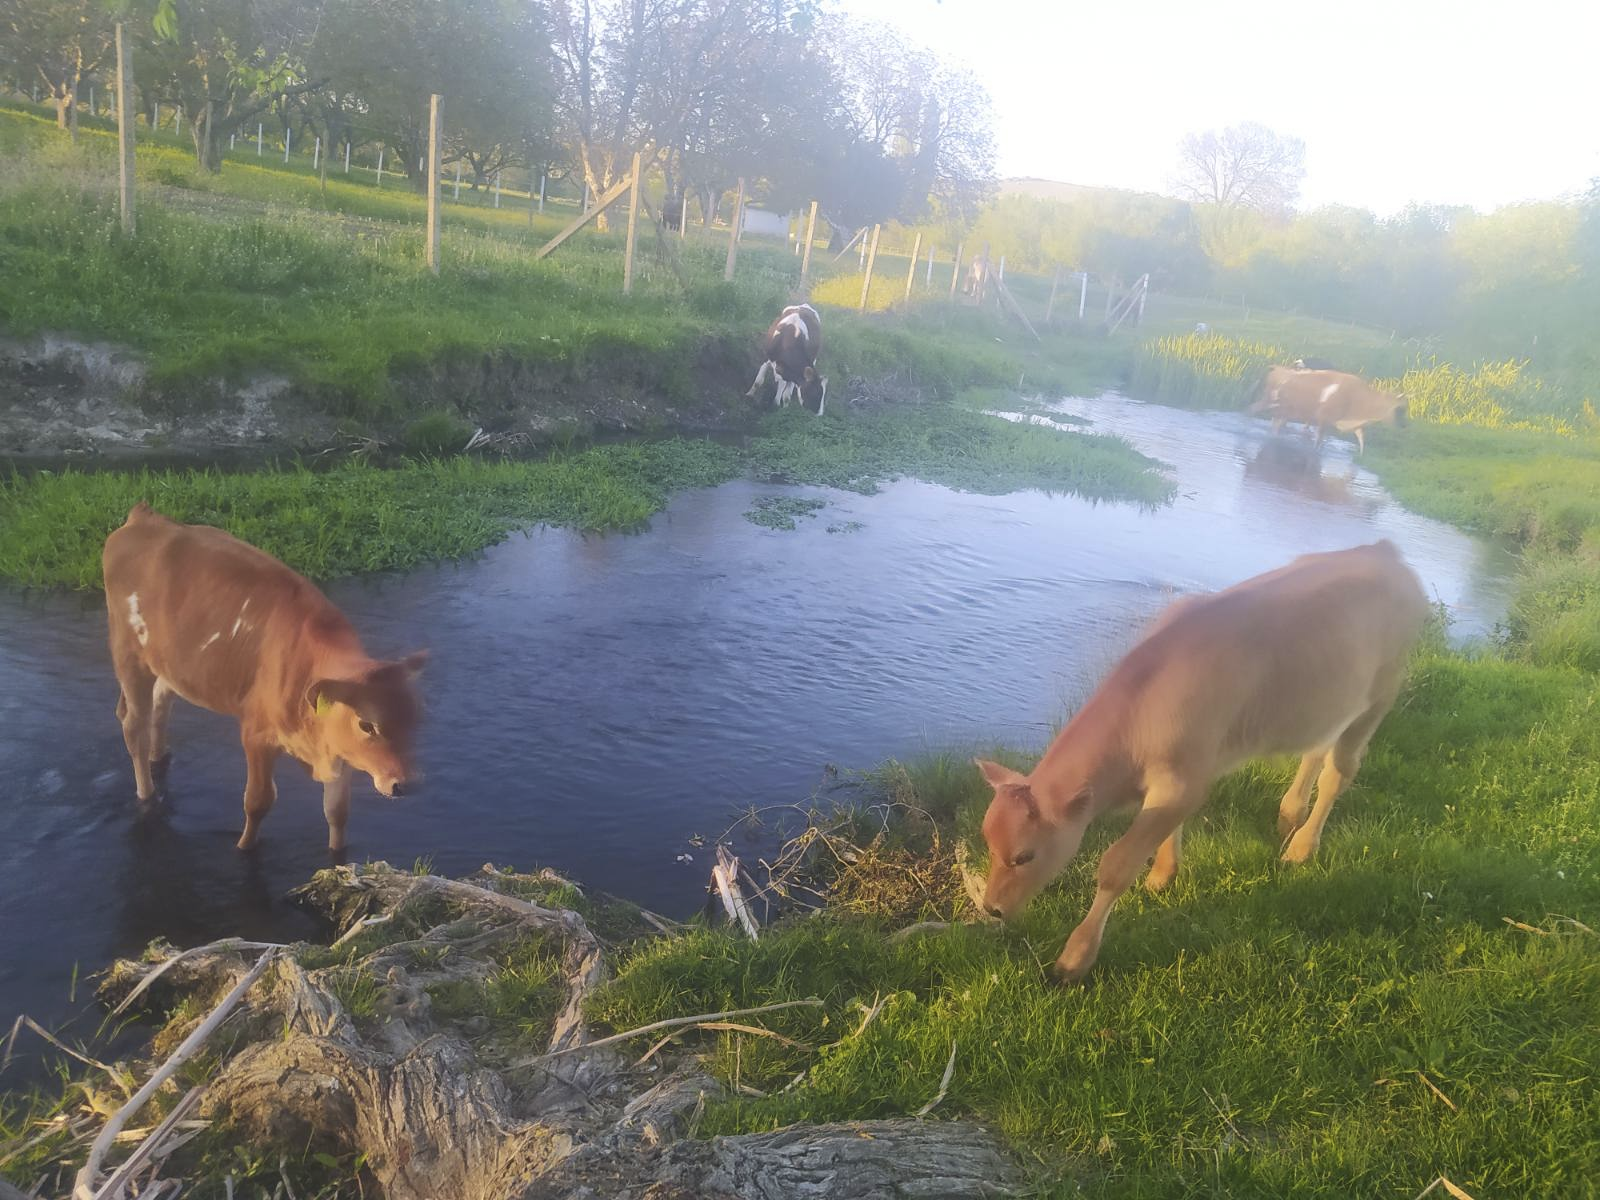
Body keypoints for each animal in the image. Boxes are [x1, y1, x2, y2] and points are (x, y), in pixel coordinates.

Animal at [102, 504, 427, 854]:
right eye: (367, 724)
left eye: (416, 718)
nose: (405, 784)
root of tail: (145, 517)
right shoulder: (256, 734)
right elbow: (259, 801)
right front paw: (244, 847)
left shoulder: (339, 749)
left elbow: (337, 812)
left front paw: (337, 853)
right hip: (129, 655)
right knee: (134, 725)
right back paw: (147, 795)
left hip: (169, 663)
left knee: (161, 703)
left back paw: (159, 756)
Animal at [975, 540, 1427, 983]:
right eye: (987, 842)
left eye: (1024, 856)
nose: (991, 908)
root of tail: (1382, 550)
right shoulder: (1180, 779)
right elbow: (1168, 829)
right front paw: (1162, 875)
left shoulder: (1182, 782)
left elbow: (1115, 865)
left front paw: (1074, 959)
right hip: (1328, 702)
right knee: (1317, 749)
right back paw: (1289, 814)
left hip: (1381, 694)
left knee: (1339, 773)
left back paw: (1301, 847)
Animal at [1251, 366, 1408, 454]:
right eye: (1399, 410)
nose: (1404, 426)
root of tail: (1277, 367)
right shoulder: (1323, 419)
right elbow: (1318, 442)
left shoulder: (1353, 424)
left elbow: (1362, 441)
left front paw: (1360, 457)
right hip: (1268, 401)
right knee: (1252, 410)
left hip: (1282, 411)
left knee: (1275, 426)